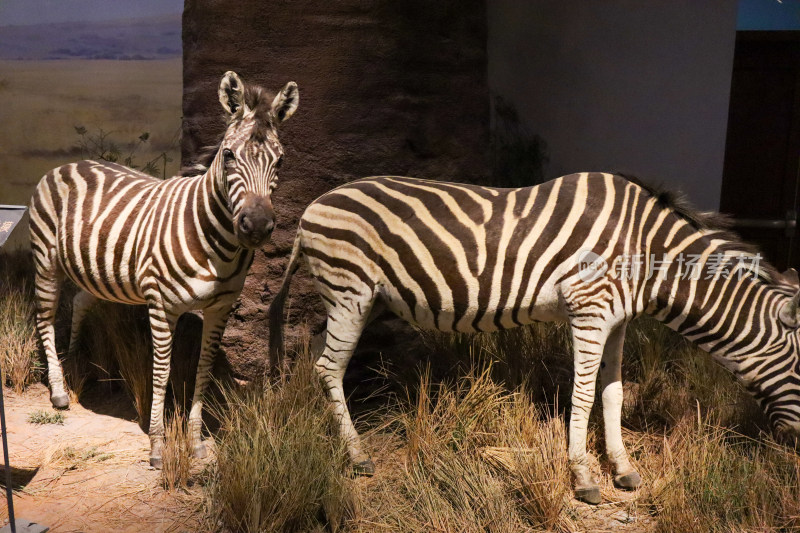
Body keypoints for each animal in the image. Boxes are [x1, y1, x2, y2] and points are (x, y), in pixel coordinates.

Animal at [30, 70, 300, 466]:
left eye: (279, 161)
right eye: (229, 155)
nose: (257, 226)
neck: (216, 245)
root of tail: (68, 164)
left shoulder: (220, 308)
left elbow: (202, 370)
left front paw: (196, 441)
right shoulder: (161, 306)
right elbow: (161, 372)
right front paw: (158, 445)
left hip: (95, 269)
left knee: (79, 301)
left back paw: (76, 358)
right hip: (46, 260)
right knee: (45, 318)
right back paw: (59, 391)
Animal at [268, 171, 800, 502]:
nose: (793, 451)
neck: (644, 252)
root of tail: (309, 209)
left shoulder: (617, 320)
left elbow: (613, 394)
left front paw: (623, 468)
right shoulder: (588, 309)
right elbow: (582, 395)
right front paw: (582, 476)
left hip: (350, 300)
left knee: (317, 360)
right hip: (351, 290)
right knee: (328, 367)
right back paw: (356, 456)